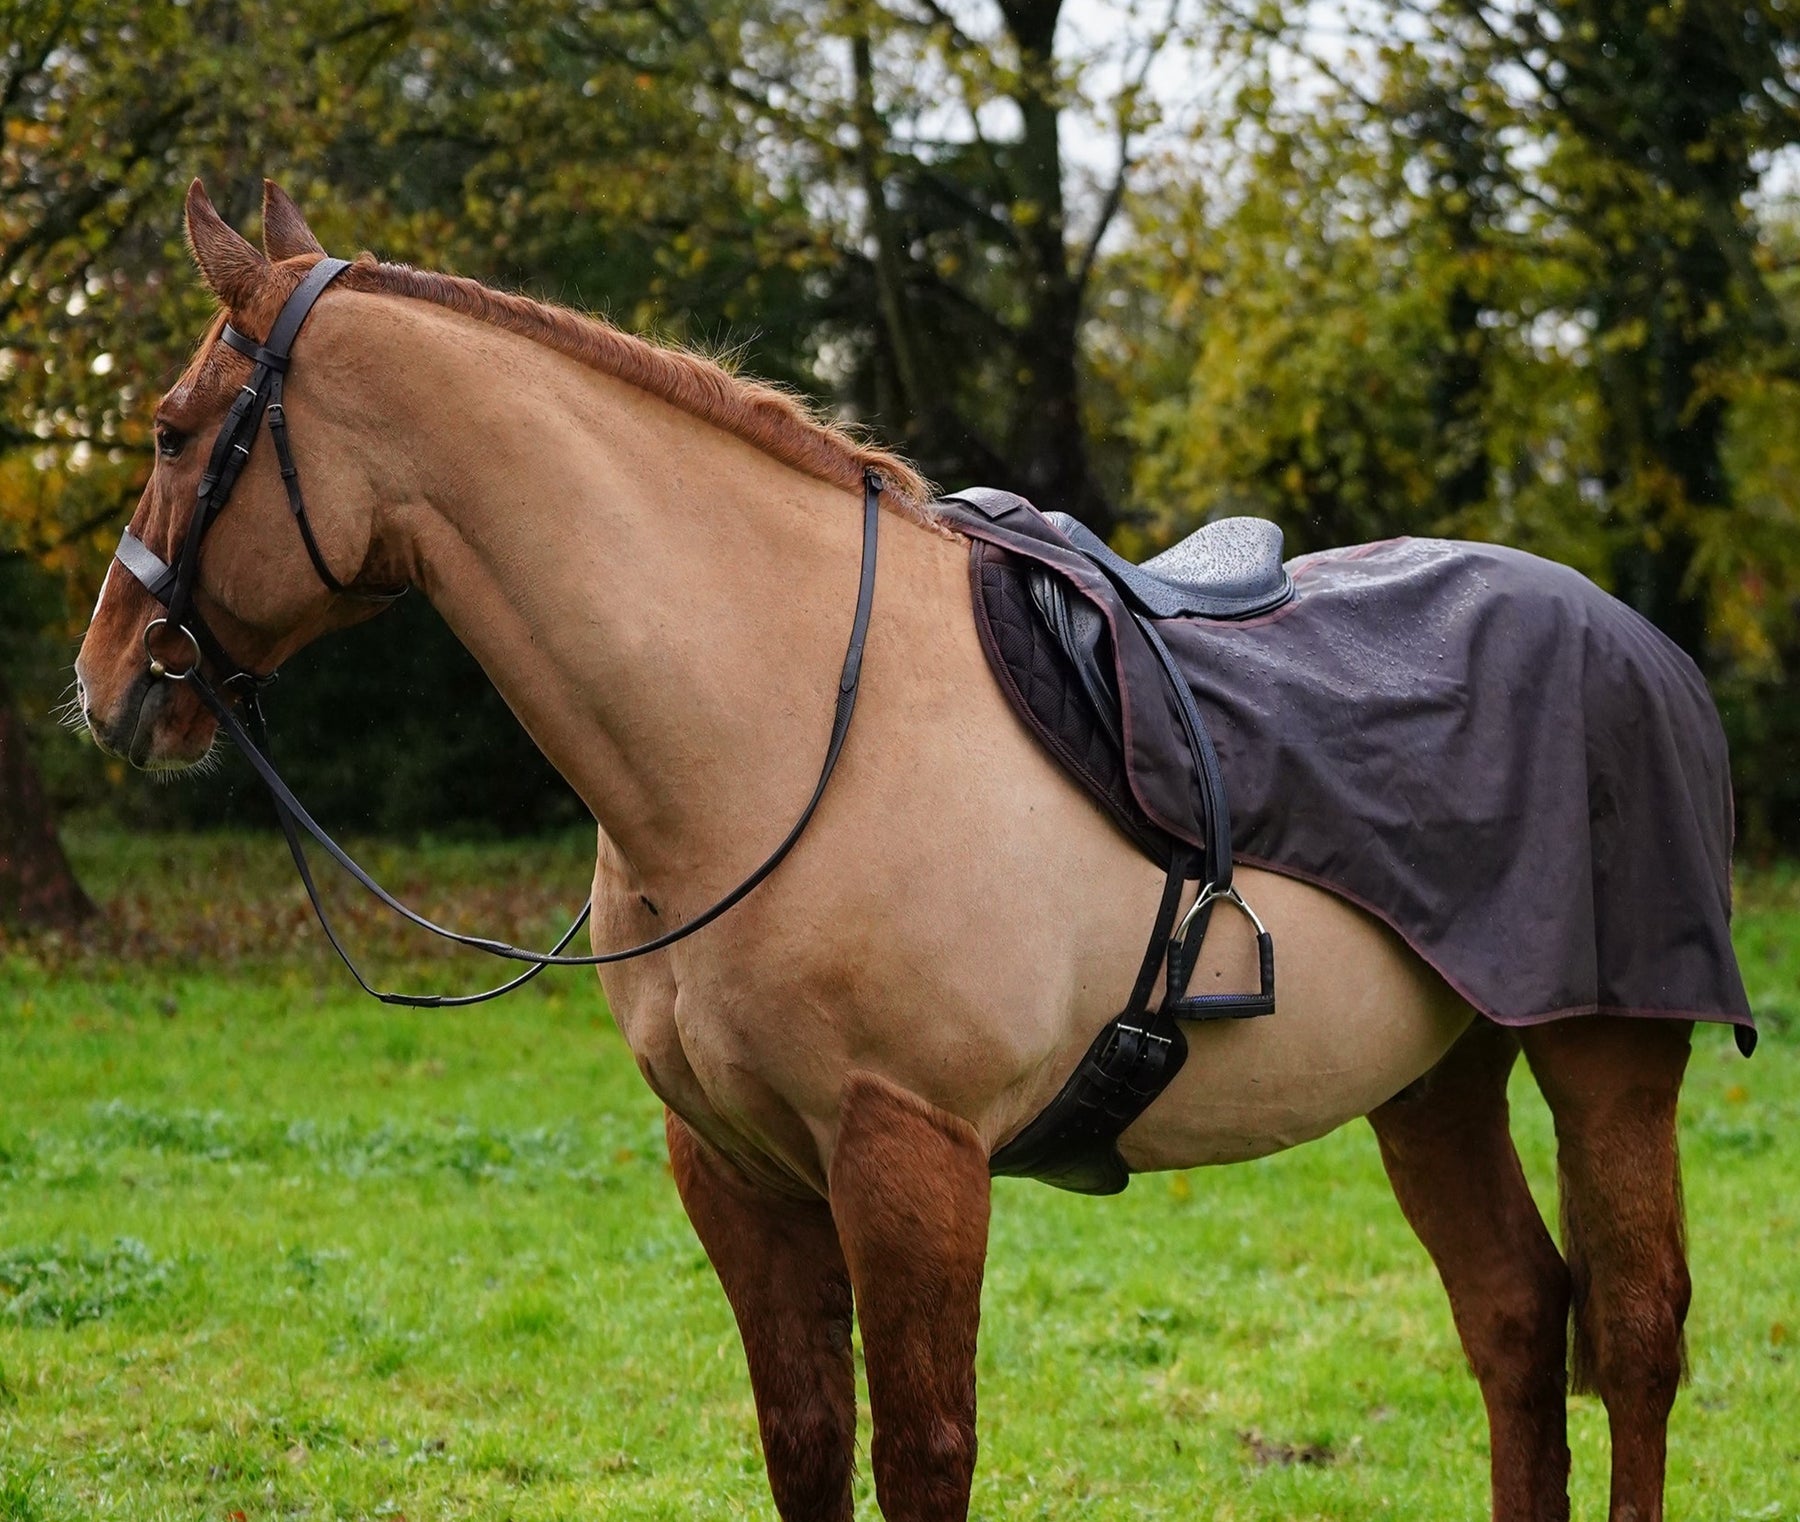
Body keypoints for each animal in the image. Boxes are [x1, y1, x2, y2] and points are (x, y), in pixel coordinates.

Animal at [73, 180, 1720, 1522]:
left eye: (168, 429)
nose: (105, 682)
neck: (781, 717)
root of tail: (1639, 642)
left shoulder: (909, 1157)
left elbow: (923, 1451)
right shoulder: (737, 1169)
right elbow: (805, 1439)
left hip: (1609, 1059)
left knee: (1637, 1335)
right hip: (1435, 1078)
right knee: (1517, 1322)